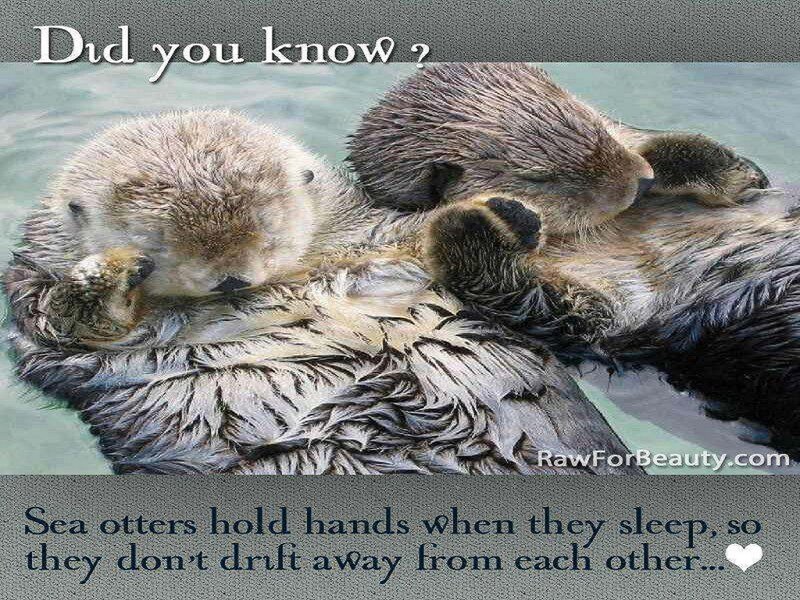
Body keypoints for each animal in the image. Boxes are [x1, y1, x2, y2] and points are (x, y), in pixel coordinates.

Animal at [3, 110, 641, 475]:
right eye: (157, 243)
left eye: (269, 228)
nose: (232, 278)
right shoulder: (40, 314)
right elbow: (69, 325)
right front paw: (108, 270)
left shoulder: (378, 242)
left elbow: (581, 316)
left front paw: (503, 213)